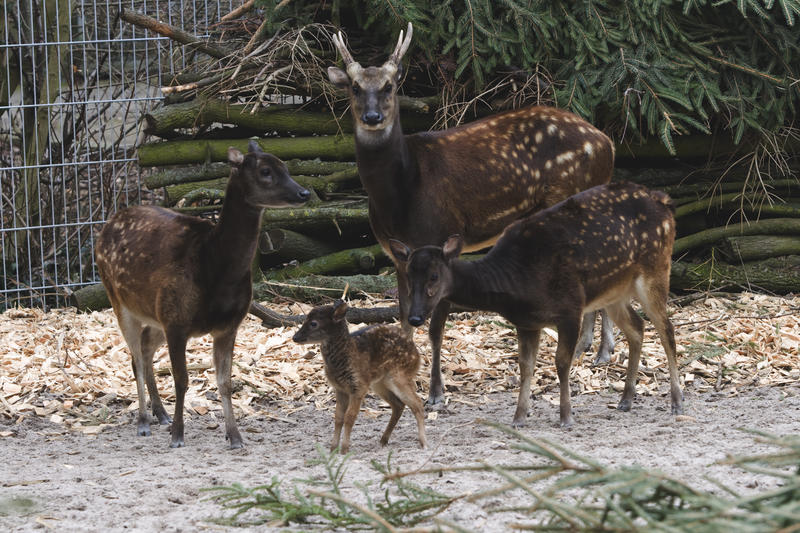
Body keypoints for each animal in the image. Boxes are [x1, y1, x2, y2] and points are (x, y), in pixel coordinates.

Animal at [96, 141, 310, 448]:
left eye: (287, 167)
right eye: (265, 171)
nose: (304, 193)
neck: (214, 268)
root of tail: (107, 225)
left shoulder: (228, 325)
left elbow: (225, 382)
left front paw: (235, 437)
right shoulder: (176, 321)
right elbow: (182, 380)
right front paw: (178, 435)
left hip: (155, 311)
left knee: (145, 348)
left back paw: (160, 414)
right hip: (118, 299)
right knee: (135, 355)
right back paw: (144, 421)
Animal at [292, 300, 427, 454]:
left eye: (314, 323)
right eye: (305, 319)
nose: (295, 337)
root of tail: (417, 356)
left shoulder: (359, 386)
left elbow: (349, 417)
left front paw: (344, 450)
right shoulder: (339, 388)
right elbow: (338, 418)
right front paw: (333, 449)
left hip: (400, 375)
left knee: (417, 403)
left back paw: (423, 443)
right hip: (379, 383)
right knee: (398, 405)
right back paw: (383, 440)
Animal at [327, 22, 617, 406]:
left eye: (389, 85)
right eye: (355, 86)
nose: (372, 117)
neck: (401, 197)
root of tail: (607, 143)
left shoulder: (439, 237)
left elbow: (436, 328)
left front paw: (436, 392)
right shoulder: (396, 254)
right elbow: (404, 317)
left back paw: (599, 350)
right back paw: (593, 348)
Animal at [388, 182, 683, 428]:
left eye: (434, 276)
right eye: (407, 275)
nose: (414, 318)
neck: (518, 284)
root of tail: (664, 201)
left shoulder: (570, 308)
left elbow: (561, 362)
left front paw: (566, 417)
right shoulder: (527, 322)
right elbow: (526, 366)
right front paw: (519, 418)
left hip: (656, 268)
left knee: (666, 329)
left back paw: (676, 402)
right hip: (614, 292)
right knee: (637, 327)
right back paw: (626, 400)